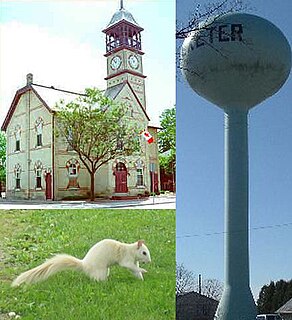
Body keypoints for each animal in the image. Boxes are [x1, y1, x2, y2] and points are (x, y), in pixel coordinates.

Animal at [11, 238, 152, 288]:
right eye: (144, 252)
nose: (149, 261)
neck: (131, 250)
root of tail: (85, 265)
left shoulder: (133, 262)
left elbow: (135, 270)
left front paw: (141, 279)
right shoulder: (126, 259)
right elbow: (128, 266)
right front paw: (144, 270)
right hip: (100, 270)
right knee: (97, 279)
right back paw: (105, 283)